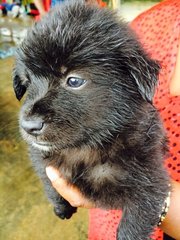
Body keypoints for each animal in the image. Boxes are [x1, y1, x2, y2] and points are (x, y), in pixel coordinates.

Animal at [13, 0, 169, 239]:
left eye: (74, 80)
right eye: (27, 81)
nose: (29, 126)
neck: (86, 148)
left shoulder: (151, 184)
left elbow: (131, 227)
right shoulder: (41, 158)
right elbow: (48, 180)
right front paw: (61, 208)